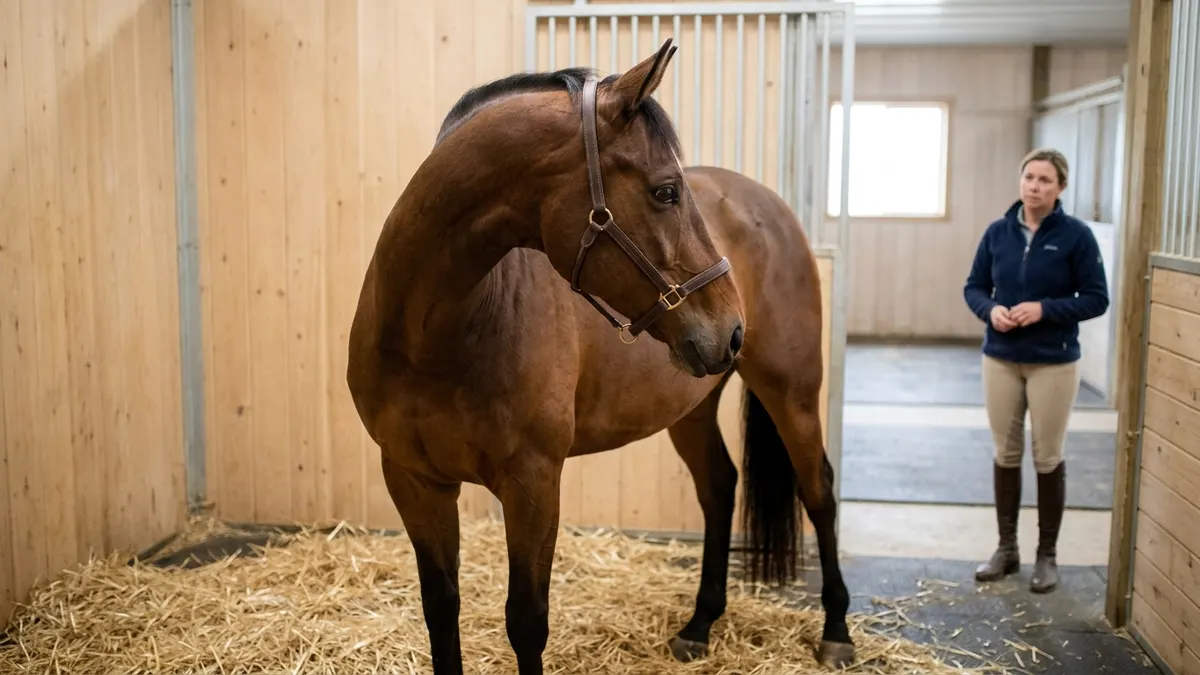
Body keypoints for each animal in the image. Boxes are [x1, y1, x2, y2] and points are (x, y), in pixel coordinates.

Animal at [346, 38, 853, 675]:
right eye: (665, 190)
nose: (731, 328)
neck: (433, 340)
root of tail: (768, 203)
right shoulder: (414, 480)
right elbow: (441, 609)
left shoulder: (534, 482)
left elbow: (526, 622)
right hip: (691, 405)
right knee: (719, 488)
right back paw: (700, 625)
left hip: (791, 389)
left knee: (819, 491)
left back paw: (836, 631)